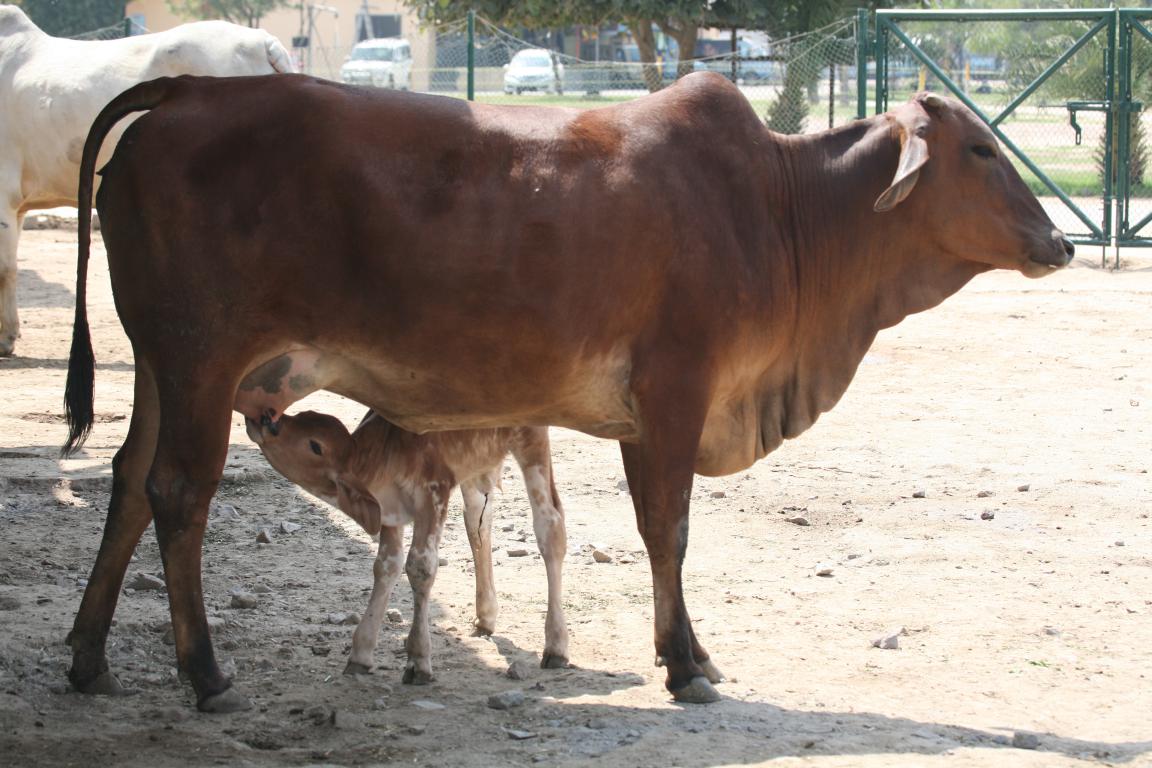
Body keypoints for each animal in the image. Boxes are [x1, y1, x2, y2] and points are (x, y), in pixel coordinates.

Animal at [244, 409, 569, 681]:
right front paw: (361, 653)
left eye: (315, 446)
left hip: (531, 439)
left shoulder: (433, 493)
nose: (266, 420)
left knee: (550, 525)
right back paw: (486, 615)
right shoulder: (388, 512)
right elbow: (386, 566)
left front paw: (418, 659)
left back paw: (555, 646)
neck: (386, 453)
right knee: (478, 520)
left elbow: (420, 567)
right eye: (302, 415)